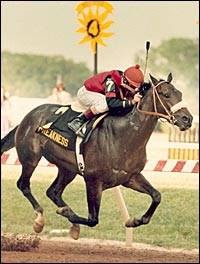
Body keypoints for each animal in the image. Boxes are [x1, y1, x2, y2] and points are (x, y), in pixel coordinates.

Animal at [1, 73, 192, 239]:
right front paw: (66, 213)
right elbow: (93, 219)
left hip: (67, 169)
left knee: (53, 191)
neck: (125, 135)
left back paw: (71, 221)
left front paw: (134, 220)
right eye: (166, 94)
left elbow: (157, 196)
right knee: (23, 184)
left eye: (180, 94)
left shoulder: (130, 177)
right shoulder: (93, 180)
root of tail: (28, 116)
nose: (187, 119)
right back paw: (40, 219)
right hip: (31, 158)